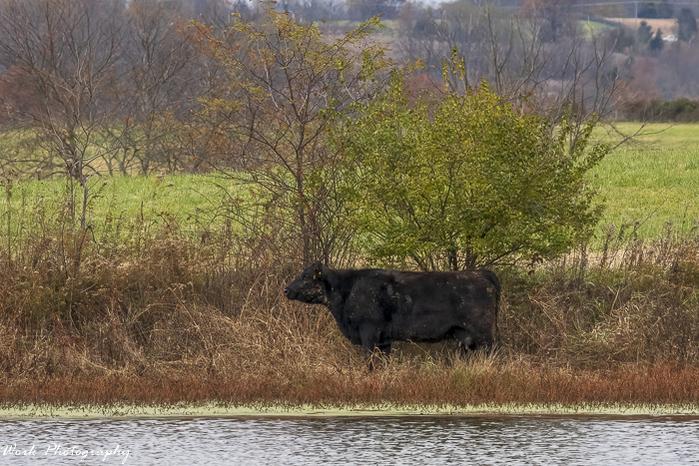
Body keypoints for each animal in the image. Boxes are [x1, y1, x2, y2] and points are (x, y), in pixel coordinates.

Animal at [284, 262, 500, 362]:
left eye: (306, 276)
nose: (286, 289)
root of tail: (480, 273)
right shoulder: (384, 340)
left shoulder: (369, 332)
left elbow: (369, 362)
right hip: (465, 336)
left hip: (484, 333)